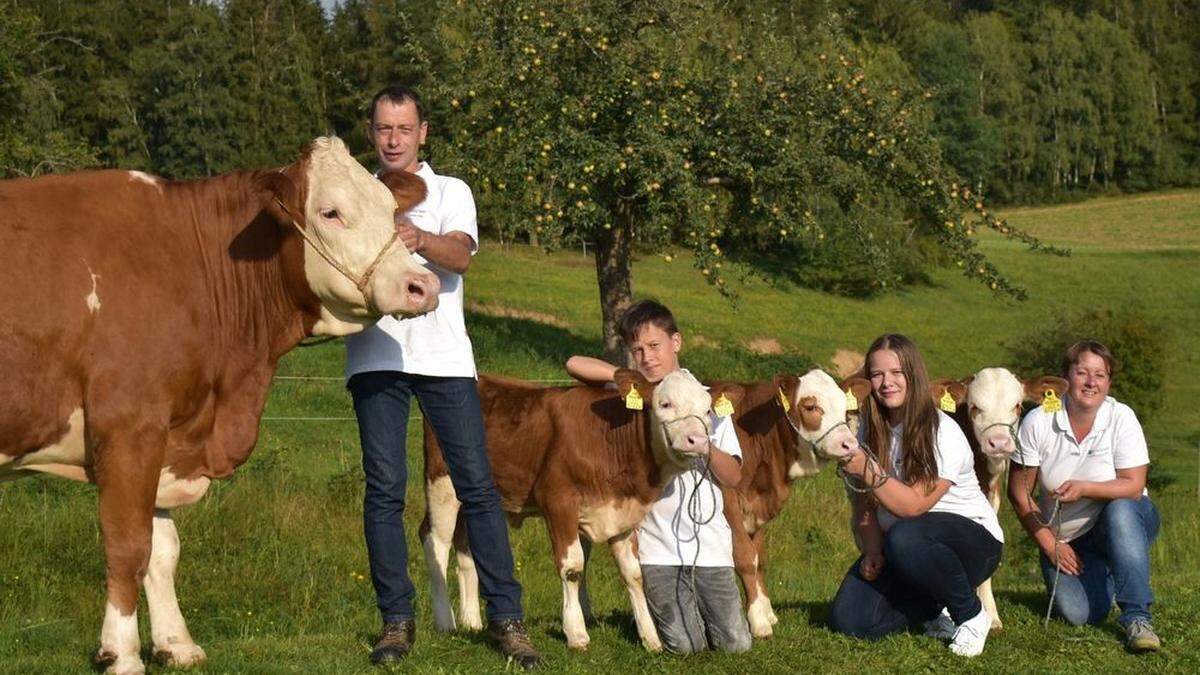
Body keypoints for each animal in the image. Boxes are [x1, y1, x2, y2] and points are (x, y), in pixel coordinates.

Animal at [422, 365, 720, 648]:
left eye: (707, 410)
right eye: (665, 404)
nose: (697, 441)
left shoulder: (623, 513)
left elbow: (634, 574)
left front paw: (650, 638)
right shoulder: (557, 500)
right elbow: (573, 568)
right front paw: (576, 633)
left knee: (466, 548)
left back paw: (471, 620)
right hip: (442, 482)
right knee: (435, 542)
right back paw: (445, 621)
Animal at [705, 367, 868, 634]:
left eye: (846, 408)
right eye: (811, 406)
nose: (850, 445)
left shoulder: (756, 507)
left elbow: (759, 557)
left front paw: (766, 611)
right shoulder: (728, 498)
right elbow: (745, 555)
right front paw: (757, 621)